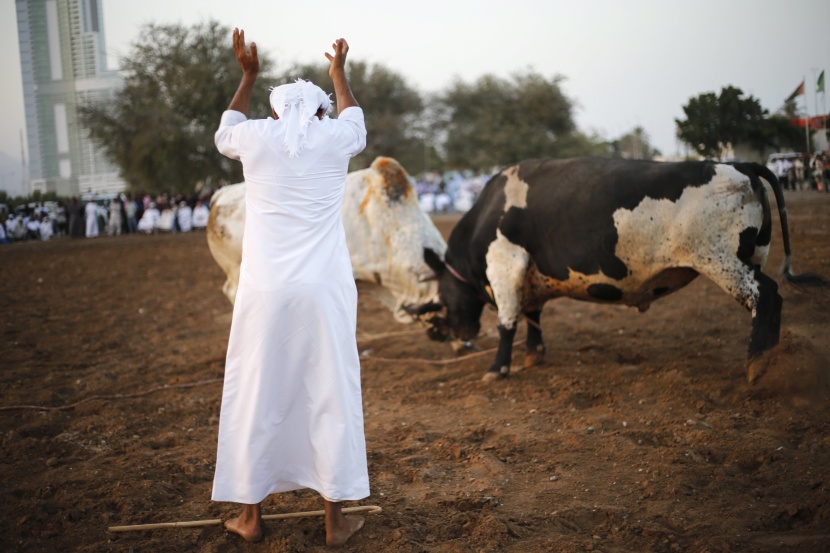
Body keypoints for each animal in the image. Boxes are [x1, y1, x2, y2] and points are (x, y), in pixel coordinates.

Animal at [414, 155, 824, 380]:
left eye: (442, 296)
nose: (440, 334)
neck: (488, 212)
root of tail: (737, 164)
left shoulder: (505, 265)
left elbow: (507, 322)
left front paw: (498, 368)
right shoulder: (529, 277)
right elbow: (533, 316)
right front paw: (533, 355)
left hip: (724, 263)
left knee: (766, 298)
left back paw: (756, 365)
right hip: (749, 258)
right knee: (768, 305)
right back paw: (767, 360)